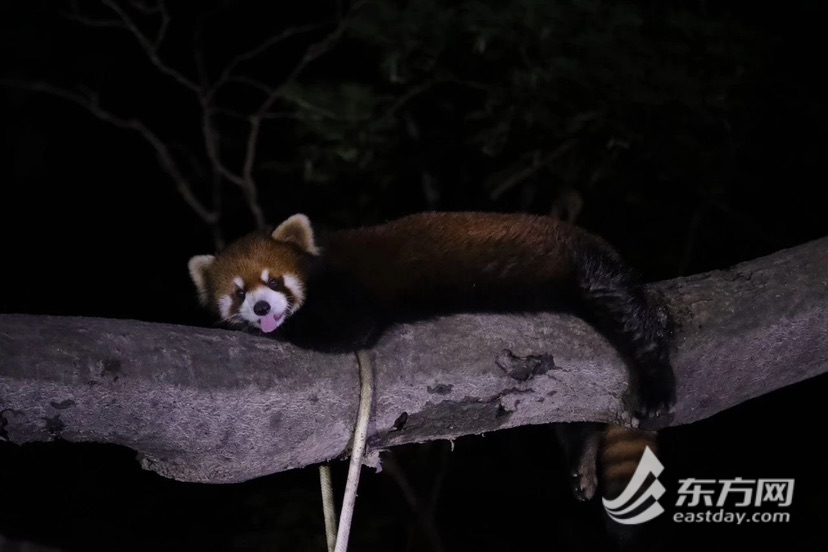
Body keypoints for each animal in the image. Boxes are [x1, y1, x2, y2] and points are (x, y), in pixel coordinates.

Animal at [186, 212, 672, 508]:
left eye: (274, 281)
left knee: (631, 319)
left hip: (586, 273)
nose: (261, 309)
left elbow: (346, 329)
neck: (326, 263)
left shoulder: (351, 298)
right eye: (238, 292)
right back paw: (581, 457)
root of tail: (594, 238)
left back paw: (656, 385)